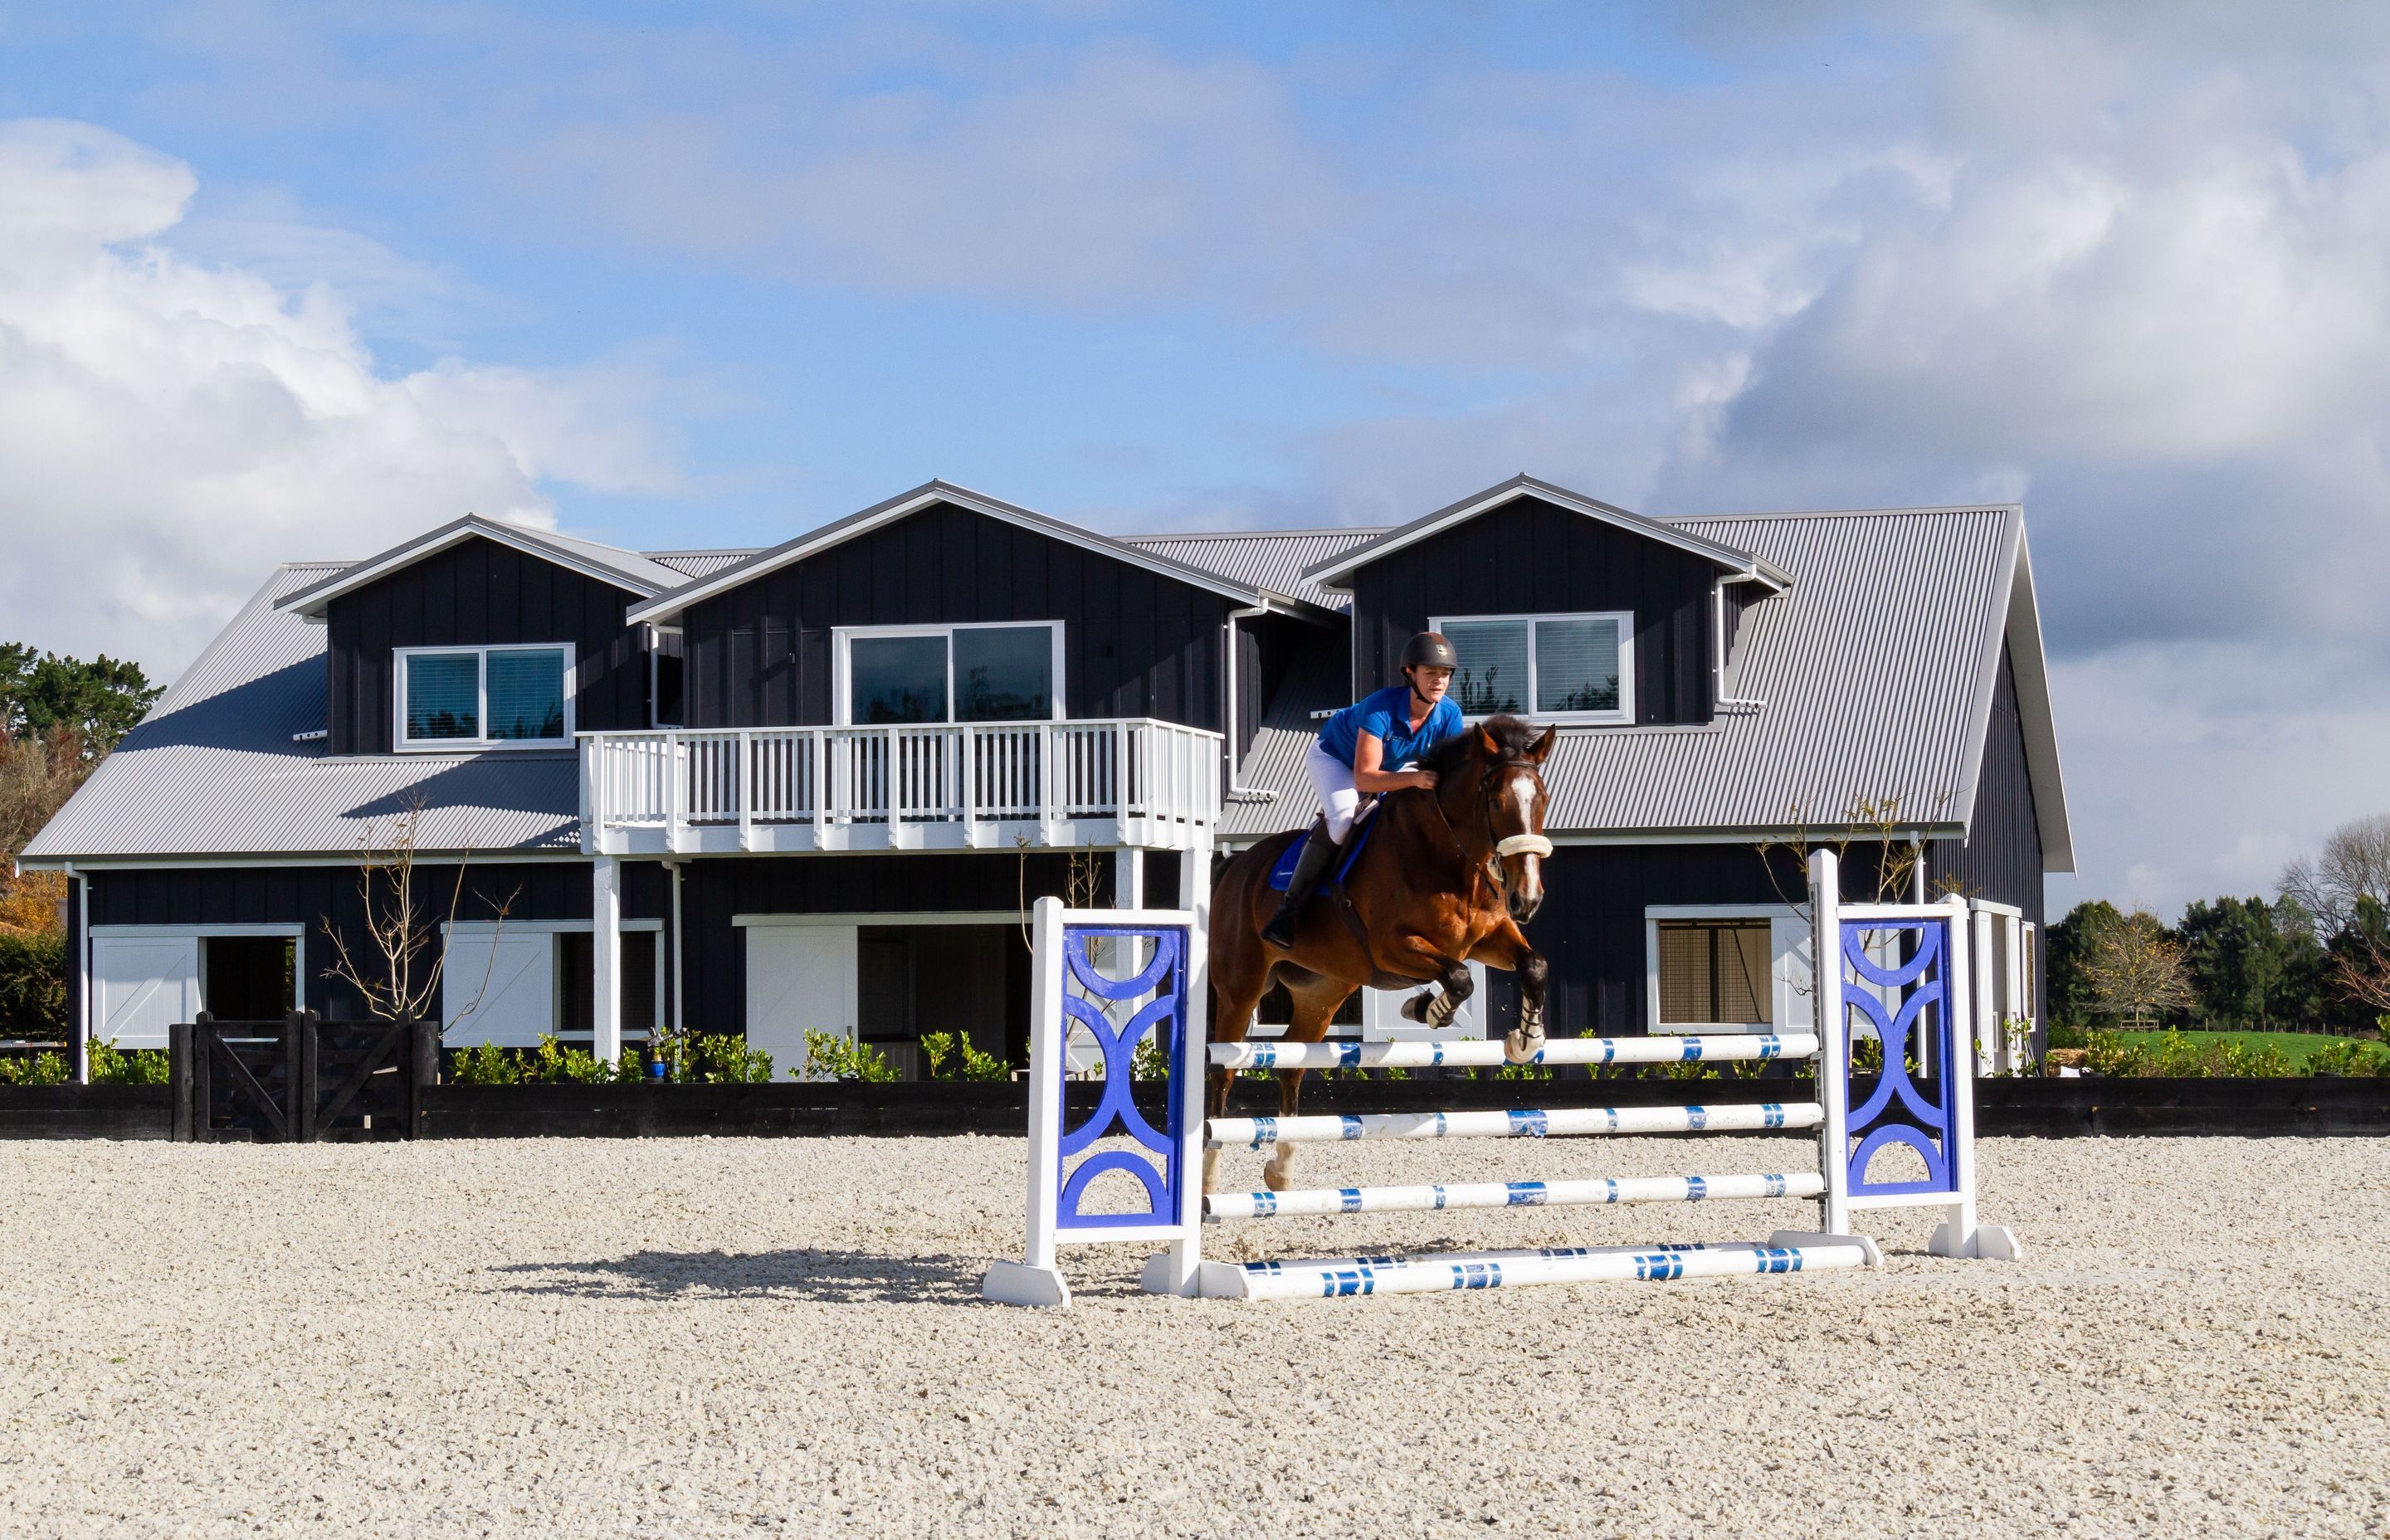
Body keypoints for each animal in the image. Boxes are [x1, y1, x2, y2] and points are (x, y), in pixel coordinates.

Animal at [1204, 717, 1558, 1195]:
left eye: (1542, 798)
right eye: (1497, 802)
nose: (1528, 899)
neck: (1447, 854)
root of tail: (1235, 869)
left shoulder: (1487, 938)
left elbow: (1532, 965)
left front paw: (1525, 1040)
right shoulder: (1392, 948)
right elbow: (1460, 977)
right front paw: (1427, 1009)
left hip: (1324, 992)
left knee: (1292, 1063)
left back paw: (1281, 1170)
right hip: (1241, 988)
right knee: (1223, 1070)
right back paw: (1207, 1179)